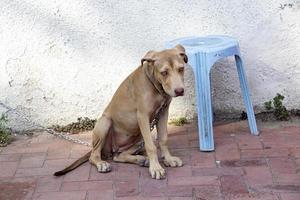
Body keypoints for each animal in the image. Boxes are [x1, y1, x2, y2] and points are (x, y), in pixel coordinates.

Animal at [52, 44, 186, 179]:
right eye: (164, 73)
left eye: (181, 69)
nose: (180, 91)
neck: (154, 85)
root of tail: (112, 150)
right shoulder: (142, 115)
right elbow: (151, 146)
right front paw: (156, 168)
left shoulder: (163, 113)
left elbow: (163, 139)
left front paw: (169, 159)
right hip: (105, 123)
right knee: (94, 155)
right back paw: (102, 163)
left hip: (138, 139)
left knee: (118, 156)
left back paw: (141, 159)